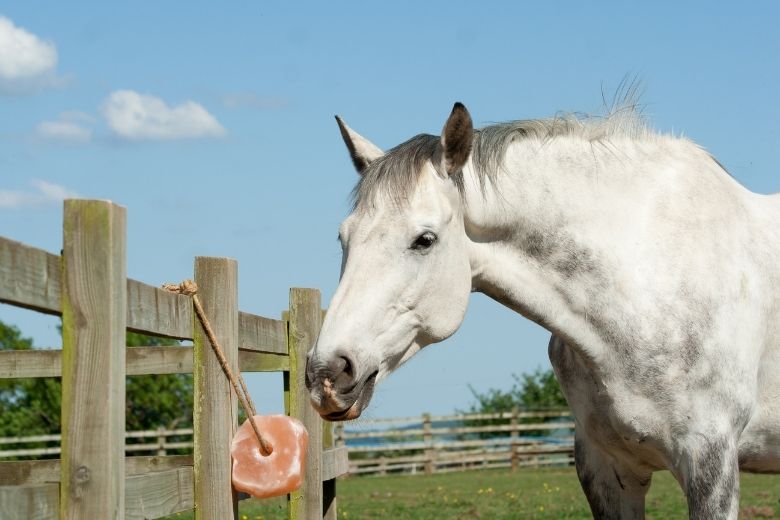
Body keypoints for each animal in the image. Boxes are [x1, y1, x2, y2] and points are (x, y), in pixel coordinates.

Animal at [304, 102, 780, 520]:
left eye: (424, 239)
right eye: (344, 237)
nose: (328, 373)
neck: (648, 282)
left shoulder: (710, 464)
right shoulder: (607, 470)